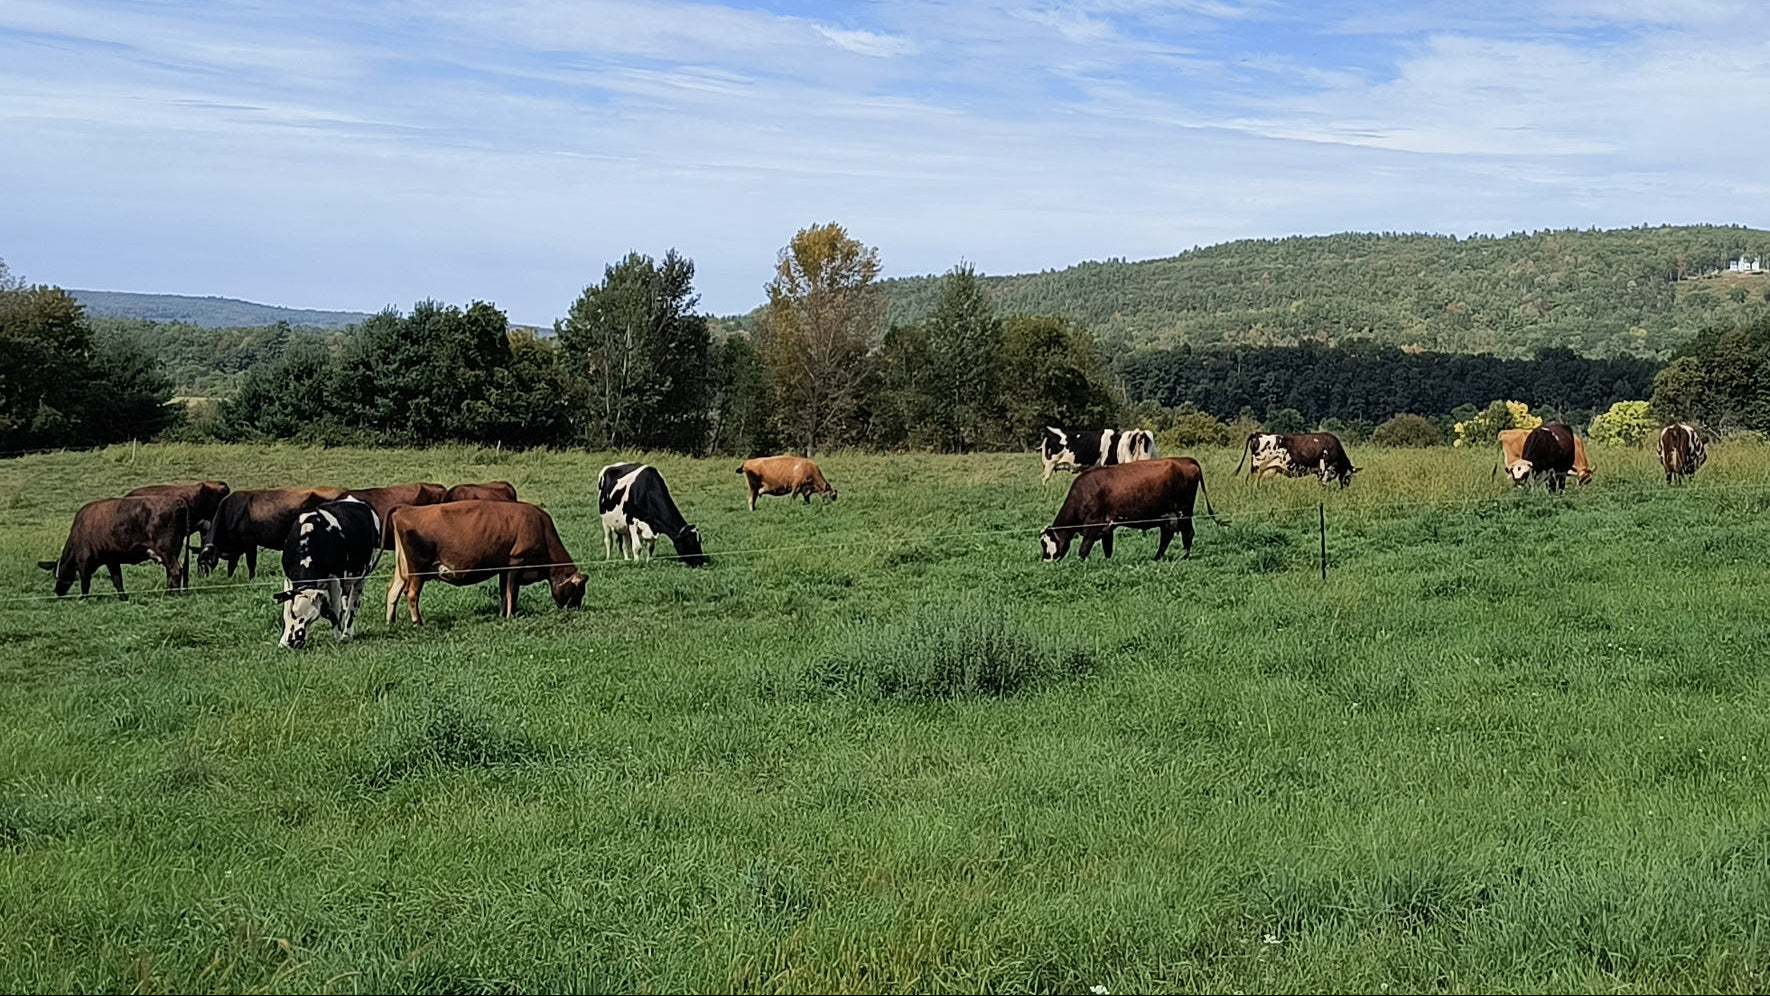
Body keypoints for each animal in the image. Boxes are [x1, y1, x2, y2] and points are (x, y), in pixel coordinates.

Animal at [38, 494, 189, 598]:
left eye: (56, 574)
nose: (57, 591)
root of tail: (177, 501)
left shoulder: (84, 562)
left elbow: (85, 583)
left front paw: (83, 599)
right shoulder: (112, 559)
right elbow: (117, 580)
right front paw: (123, 598)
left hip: (165, 548)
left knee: (175, 570)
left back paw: (172, 595)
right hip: (174, 548)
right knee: (171, 571)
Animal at [198, 486, 347, 578]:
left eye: (206, 562)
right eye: (198, 561)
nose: (202, 579)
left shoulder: (249, 540)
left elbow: (251, 563)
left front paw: (251, 579)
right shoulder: (236, 545)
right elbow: (231, 565)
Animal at [274, 496, 382, 649]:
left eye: (312, 619)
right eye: (294, 613)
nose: (296, 642)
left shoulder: (335, 580)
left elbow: (335, 610)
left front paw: (337, 638)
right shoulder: (288, 579)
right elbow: (285, 608)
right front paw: (282, 642)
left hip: (363, 575)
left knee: (352, 606)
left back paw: (346, 634)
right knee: (346, 601)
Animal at [385, 500, 587, 624]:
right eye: (579, 591)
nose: (575, 610)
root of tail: (406, 508)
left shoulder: (504, 567)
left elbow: (504, 593)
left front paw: (502, 614)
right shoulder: (517, 561)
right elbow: (512, 592)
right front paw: (510, 616)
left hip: (403, 567)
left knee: (393, 590)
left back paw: (390, 621)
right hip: (417, 568)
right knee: (411, 593)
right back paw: (418, 622)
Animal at [1040, 457, 1216, 562]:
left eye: (1047, 545)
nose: (1046, 561)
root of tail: (1185, 459)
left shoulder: (1093, 524)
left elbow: (1084, 548)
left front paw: (1080, 563)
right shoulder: (1107, 527)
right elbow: (1107, 548)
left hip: (1184, 511)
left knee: (1187, 533)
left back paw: (1184, 557)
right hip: (1168, 515)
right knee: (1166, 536)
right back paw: (1156, 558)